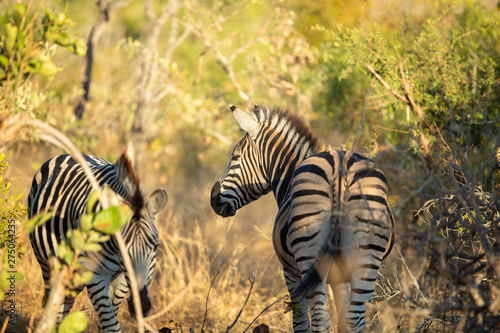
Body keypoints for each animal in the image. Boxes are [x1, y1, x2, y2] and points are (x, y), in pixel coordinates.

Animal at [28, 148, 167, 332]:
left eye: (155, 246)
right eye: (122, 248)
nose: (143, 306)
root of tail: (68, 154)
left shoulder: (121, 279)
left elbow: (106, 322)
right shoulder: (95, 275)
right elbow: (111, 325)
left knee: (65, 303)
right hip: (48, 263)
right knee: (55, 306)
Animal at [210, 104, 394, 332]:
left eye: (235, 157)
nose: (213, 199)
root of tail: (339, 170)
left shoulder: (290, 272)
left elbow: (300, 322)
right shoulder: (339, 276)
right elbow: (342, 319)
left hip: (309, 253)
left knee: (320, 318)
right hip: (366, 256)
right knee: (355, 319)